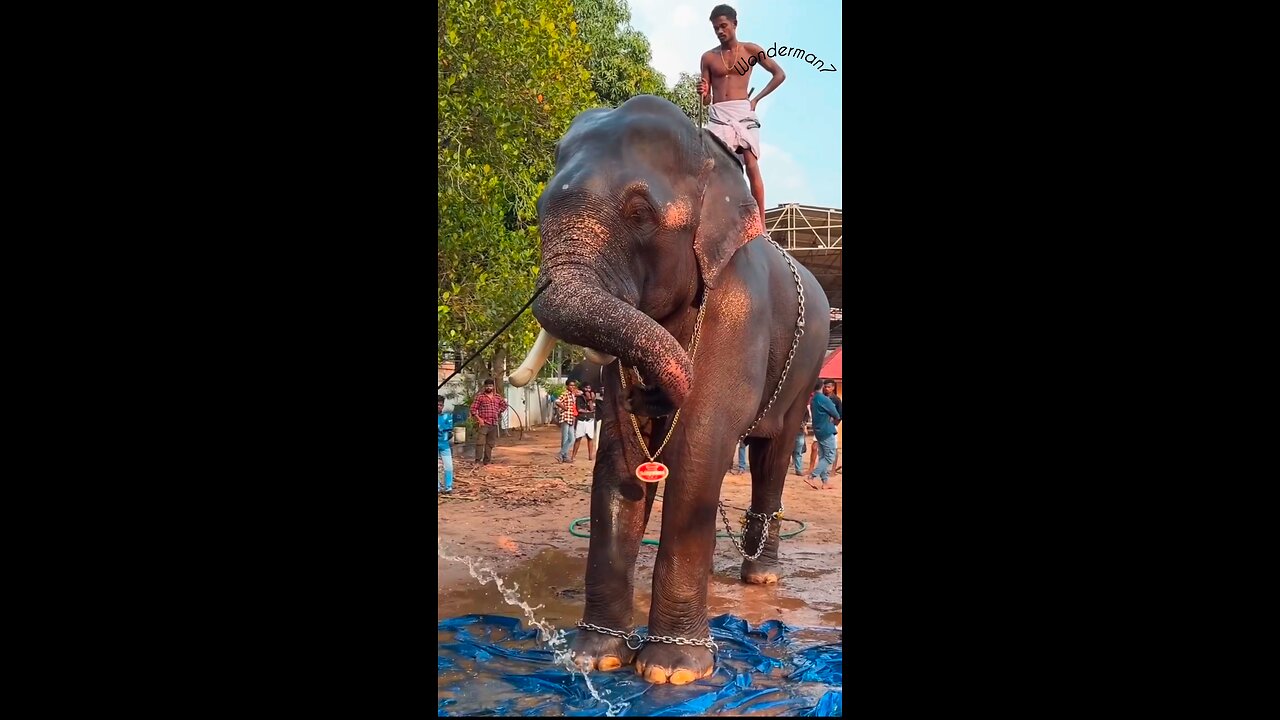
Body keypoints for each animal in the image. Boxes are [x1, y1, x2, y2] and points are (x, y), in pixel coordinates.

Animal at [509, 95, 829, 681]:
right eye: (540, 207)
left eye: (640, 214)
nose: (652, 390)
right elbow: (619, 459)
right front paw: (595, 658)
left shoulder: (737, 307)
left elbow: (701, 447)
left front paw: (673, 670)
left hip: (808, 364)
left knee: (773, 452)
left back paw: (761, 576)